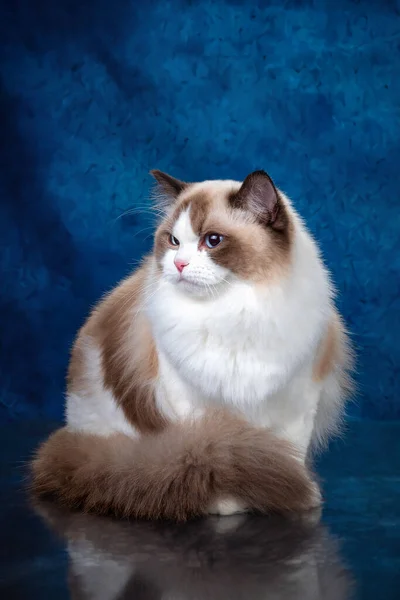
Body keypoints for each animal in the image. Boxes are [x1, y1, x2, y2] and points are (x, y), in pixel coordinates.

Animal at [29, 169, 352, 520]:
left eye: (212, 240)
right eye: (173, 241)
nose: (179, 264)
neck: (234, 311)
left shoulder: (298, 404)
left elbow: (289, 456)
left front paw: (297, 493)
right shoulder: (192, 407)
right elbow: (208, 457)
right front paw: (225, 503)